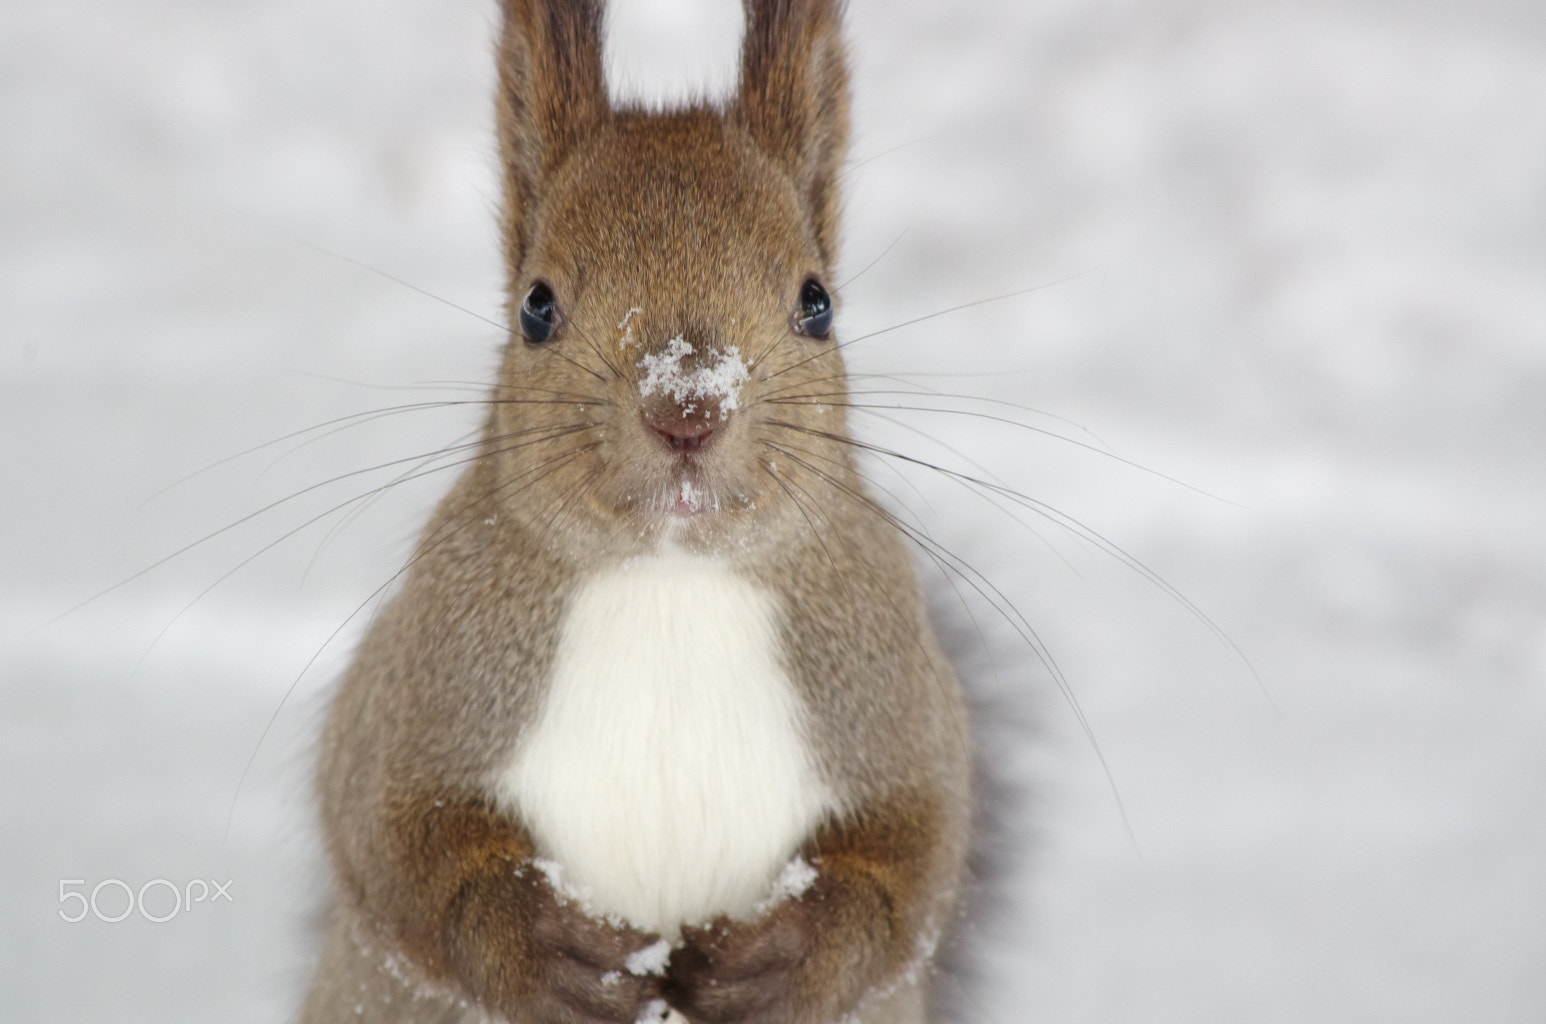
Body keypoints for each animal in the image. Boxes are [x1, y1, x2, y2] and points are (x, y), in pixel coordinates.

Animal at [296, 2, 970, 1024]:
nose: (686, 408)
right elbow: (394, 845)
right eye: (536, 308)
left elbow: (912, 864)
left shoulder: (893, 693)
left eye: (817, 303)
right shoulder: (421, 686)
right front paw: (551, 950)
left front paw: (779, 956)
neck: (671, 577)